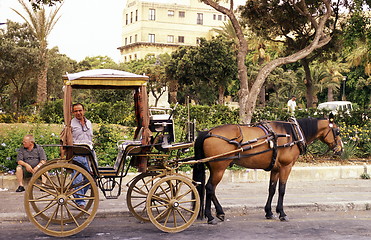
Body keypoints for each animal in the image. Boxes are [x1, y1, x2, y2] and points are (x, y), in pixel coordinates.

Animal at [193, 117, 344, 224]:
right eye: (337, 131)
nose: (341, 149)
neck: (292, 134)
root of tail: (208, 132)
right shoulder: (286, 167)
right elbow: (282, 190)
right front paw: (282, 213)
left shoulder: (276, 168)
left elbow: (272, 189)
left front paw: (269, 212)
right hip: (219, 168)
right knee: (210, 188)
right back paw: (211, 217)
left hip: (214, 168)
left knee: (210, 189)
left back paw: (219, 213)